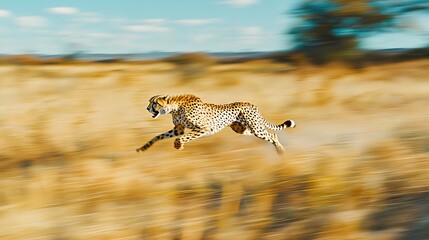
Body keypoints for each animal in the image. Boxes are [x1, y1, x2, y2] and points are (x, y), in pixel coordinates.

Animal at [135, 94, 296, 154]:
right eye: (150, 102)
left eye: (155, 103)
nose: (147, 108)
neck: (174, 108)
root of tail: (252, 104)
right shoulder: (178, 129)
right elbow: (158, 136)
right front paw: (143, 148)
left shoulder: (204, 128)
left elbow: (182, 137)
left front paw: (178, 145)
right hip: (242, 129)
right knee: (272, 134)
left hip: (256, 128)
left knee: (272, 135)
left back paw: (281, 150)